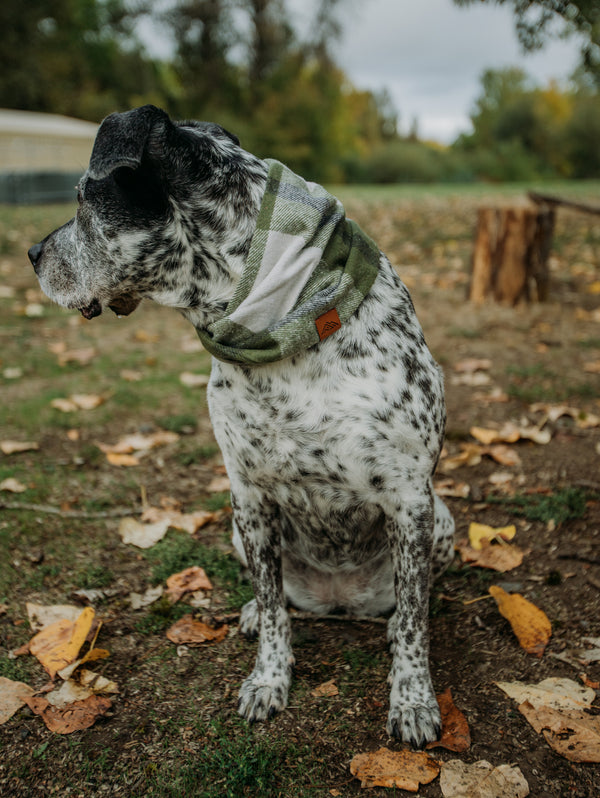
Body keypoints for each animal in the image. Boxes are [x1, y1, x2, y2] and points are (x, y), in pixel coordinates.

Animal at [29, 104, 454, 752]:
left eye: (81, 199)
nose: (31, 253)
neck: (281, 323)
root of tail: (339, 601)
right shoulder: (249, 495)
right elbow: (275, 608)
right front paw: (269, 680)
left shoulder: (409, 499)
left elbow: (411, 624)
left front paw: (412, 699)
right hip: (237, 525)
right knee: (274, 591)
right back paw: (254, 613)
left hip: (442, 519)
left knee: (408, 604)